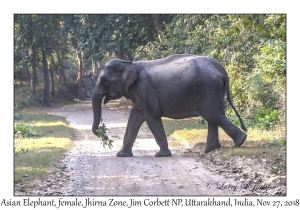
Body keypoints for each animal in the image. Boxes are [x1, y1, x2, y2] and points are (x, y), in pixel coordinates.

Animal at [91, 54, 246, 158]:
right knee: (213, 116)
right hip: (213, 91)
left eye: (104, 81)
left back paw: (240, 141)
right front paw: (121, 155)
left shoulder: (145, 91)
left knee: (212, 115)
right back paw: (211, 149)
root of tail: (221, 69)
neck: (130, 64)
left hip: (209, 89)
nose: (101, 133)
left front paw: (161, 155)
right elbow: (135, 118)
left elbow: (151, 118)